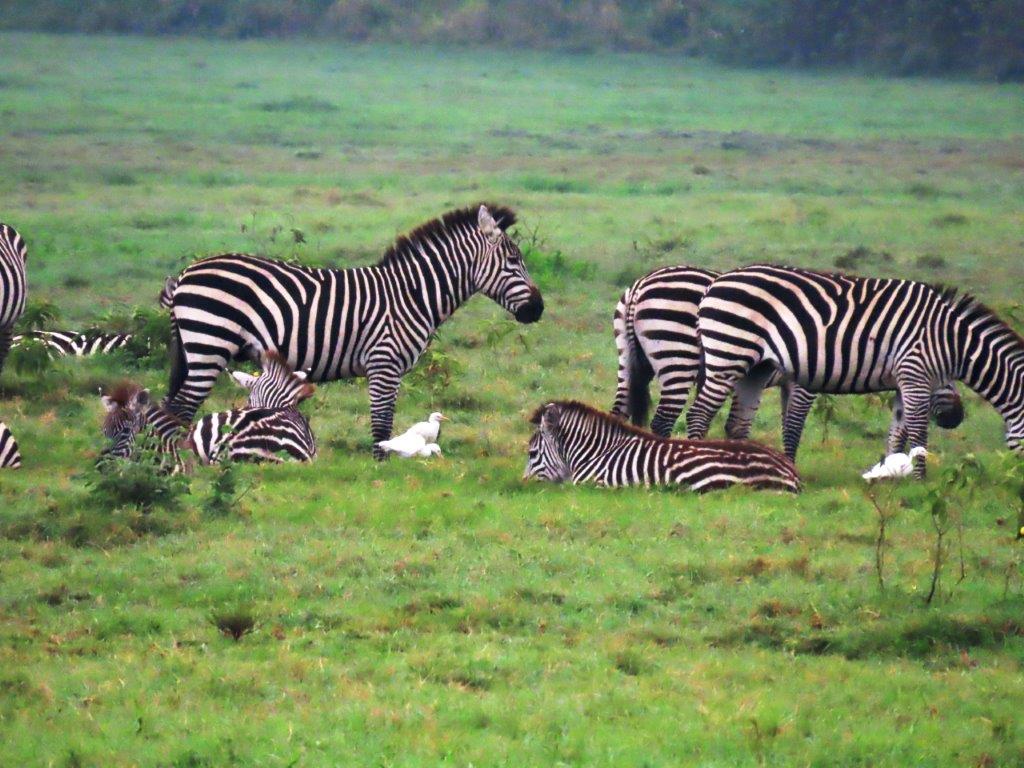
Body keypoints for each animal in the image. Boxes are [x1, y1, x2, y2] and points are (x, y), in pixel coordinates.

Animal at [164, 204, 543, 458]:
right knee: (182, 407)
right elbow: (382, 422)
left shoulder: (387, 368)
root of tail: (186, 273)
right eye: (513, 261)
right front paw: (381, 469)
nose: (538, 309)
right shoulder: (384, 363)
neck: (412, 296)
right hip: (208, 343)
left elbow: (385, 420)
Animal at [612, 264, 964, 457]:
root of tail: (640, 285)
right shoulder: (806, 379)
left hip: (627, 360)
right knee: (663, 419)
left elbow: (785, 421)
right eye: (946, 376)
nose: (957, 418)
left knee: (619, 410)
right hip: (678, 356)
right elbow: (794, 424)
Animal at [686, 264, 1024, 477]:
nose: (956, 418)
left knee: (737, 424)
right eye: (946, 381)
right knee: (698, 414)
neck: (951, 338)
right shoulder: (915, 372)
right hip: (728, 353)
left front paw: (892, 474)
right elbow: (917, 431)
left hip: (755, 367)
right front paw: (920, 479)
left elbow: (897, 432)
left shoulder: (903, 381)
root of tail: (715, 283)